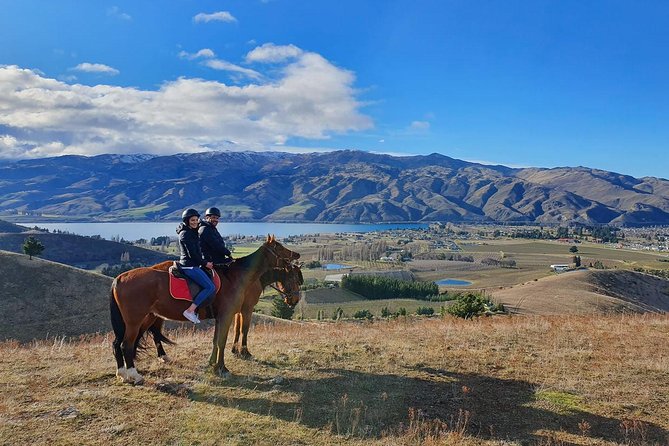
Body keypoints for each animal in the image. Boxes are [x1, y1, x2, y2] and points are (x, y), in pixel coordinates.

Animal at [147, 264, 304, 364]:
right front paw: (245, 352)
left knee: (154, 332)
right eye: (294, 280)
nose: (295, 300)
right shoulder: (247, 309)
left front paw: (235, 350)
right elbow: (244, 329)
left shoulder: (236, 311)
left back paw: (163, 356)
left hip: (155, 315)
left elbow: (237, 329)